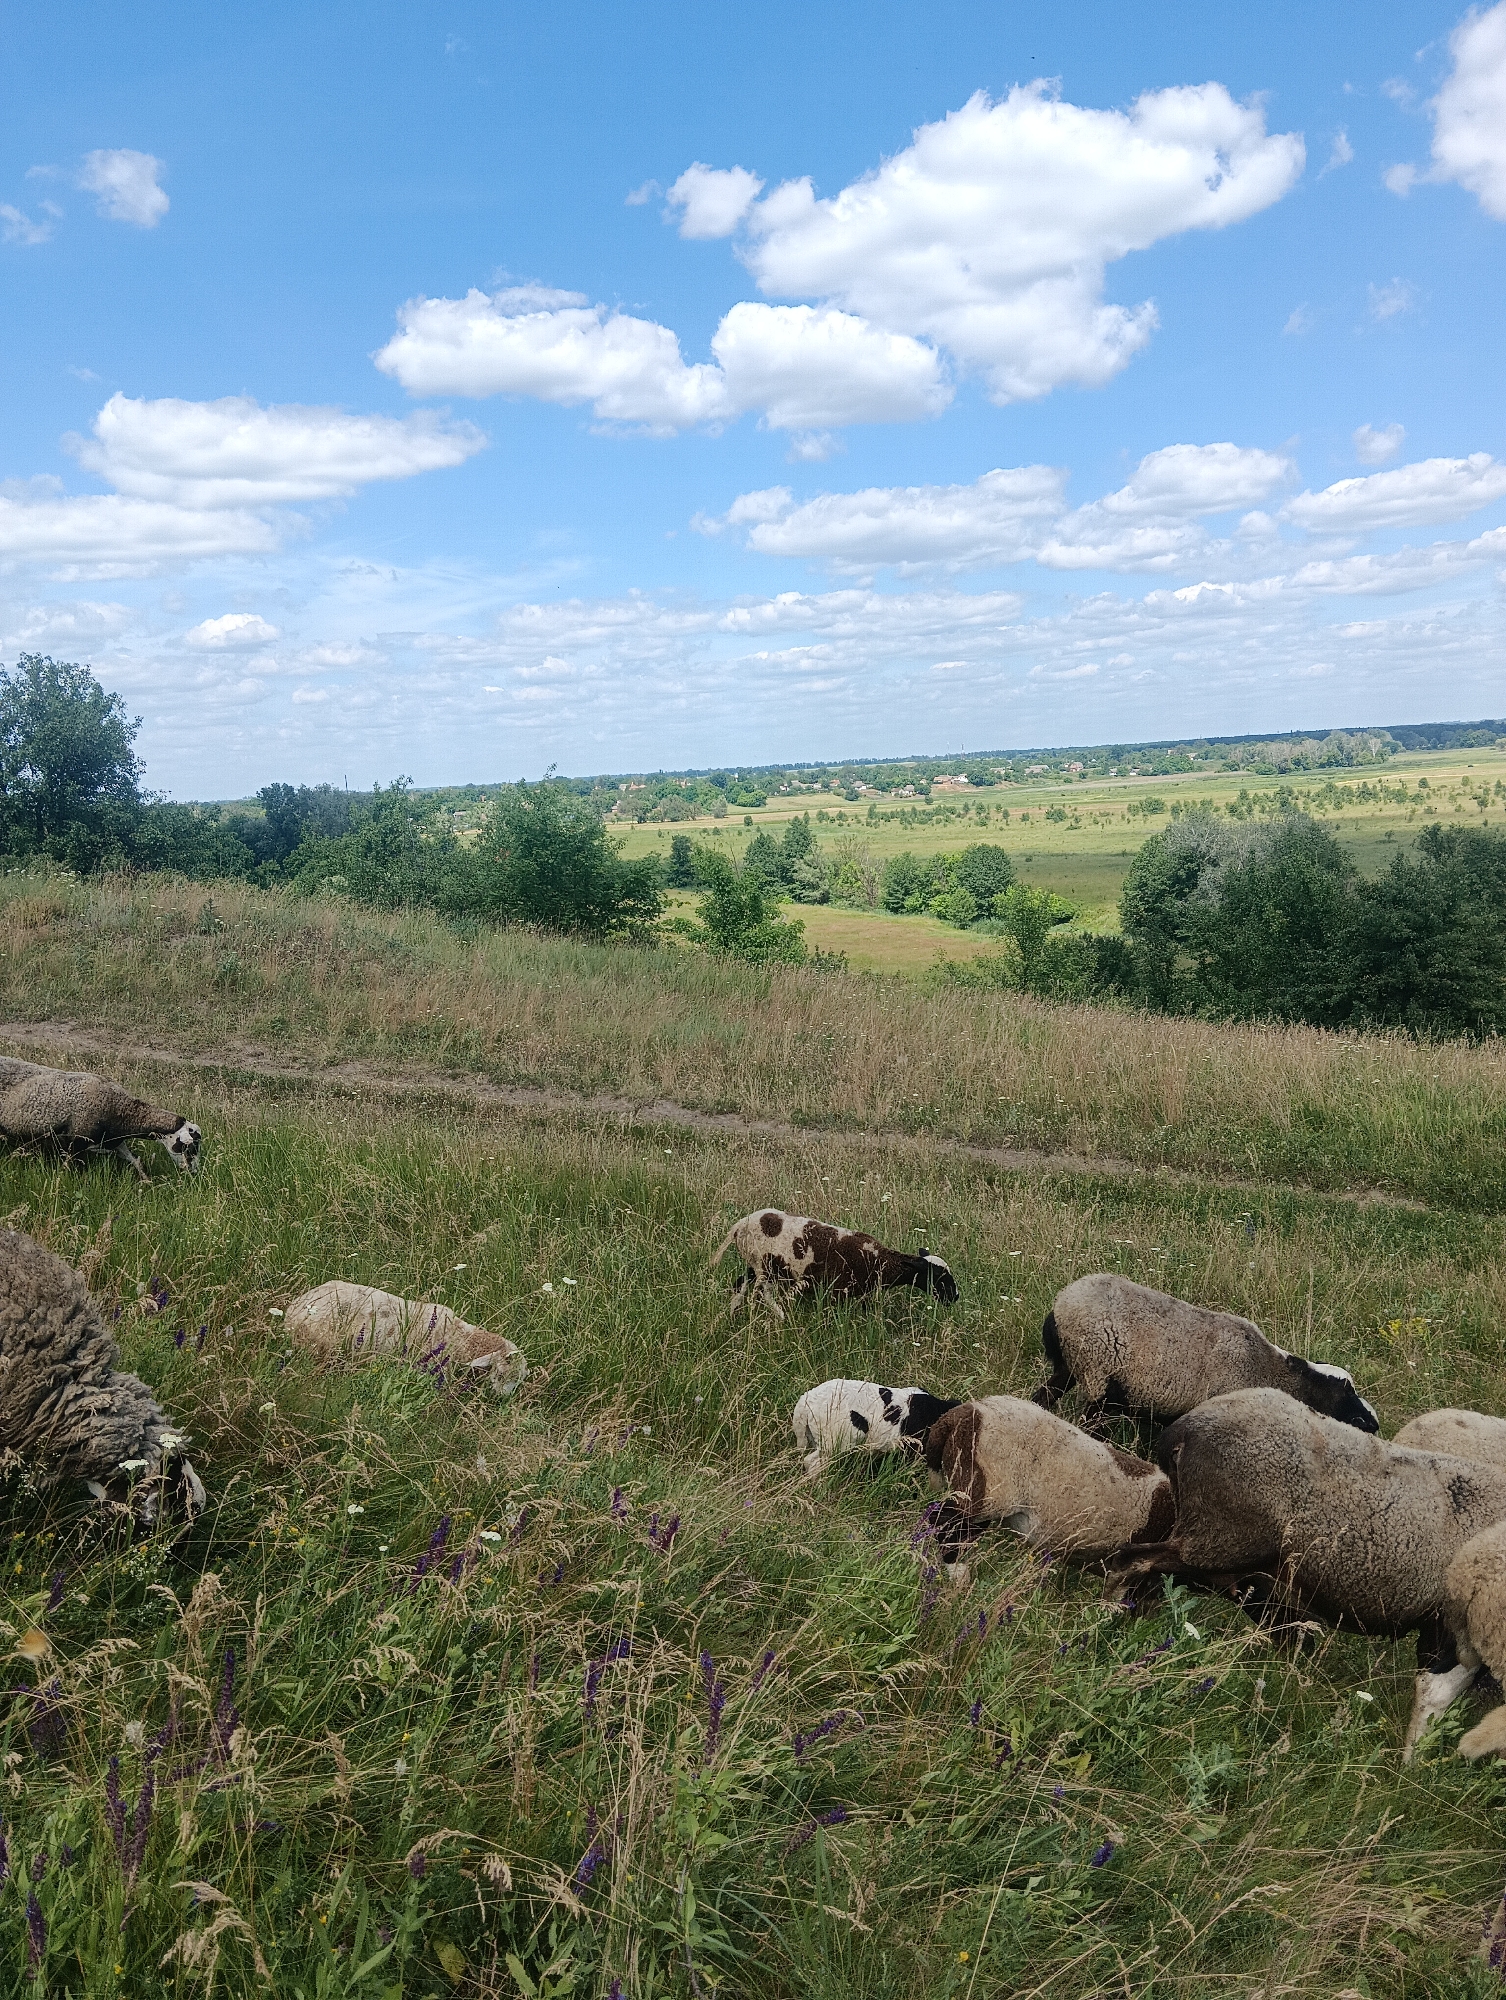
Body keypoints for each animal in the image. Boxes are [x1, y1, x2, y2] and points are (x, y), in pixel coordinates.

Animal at [0, 1057, 201, 1181]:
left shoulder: (115, 1142)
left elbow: (136, 1161)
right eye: (188, 1149)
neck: (121, 1110)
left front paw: (147, 1182)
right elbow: (70, 1169)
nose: (194, 1172)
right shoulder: (76, 1143)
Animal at [712, 1210, 958, 1319]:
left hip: (756, 1266)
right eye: (937, 1276)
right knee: (759, 1293)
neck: (880, 1261)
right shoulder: (837, 1290)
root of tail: (739, 1226)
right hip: (764, 1266)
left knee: (741, 1286)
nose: (954, 1297)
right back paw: (778, 1315)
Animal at [1034, 1273, 1378, 1433]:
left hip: (1071, 1367)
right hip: (1099, 1373)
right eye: (1348, 1398)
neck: (1271, 1371)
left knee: (1044, 1395)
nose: (1376, 1427)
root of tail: (1060, 1307)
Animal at [1108, 1387, 1506, 1759]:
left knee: (1152, 1579)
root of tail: (1184, 1429)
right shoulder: (1451, 1627)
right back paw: (1110, 1628)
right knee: (1129, 1564)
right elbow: (1434, 1699)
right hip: (1220, 1539)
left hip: (1219, 1550)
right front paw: (1410, 1768)